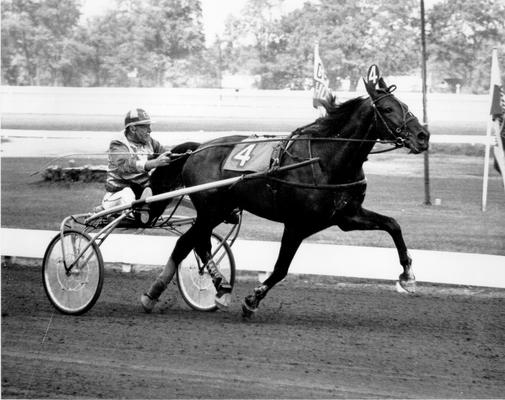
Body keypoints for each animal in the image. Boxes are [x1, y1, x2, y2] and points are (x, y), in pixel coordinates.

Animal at [144, 69, 428, 318]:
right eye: (388, 109)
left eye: (405, 104)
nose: (423, 135)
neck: (325, 160)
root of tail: (198, 148)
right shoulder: (296, 224)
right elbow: (281, 268)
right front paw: (252, 301)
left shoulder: (347, 216)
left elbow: (393, 225)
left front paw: (408, 276)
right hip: (211, 210)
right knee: (185, 244)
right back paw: (152, 295)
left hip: (217, 211)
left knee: (200, 244)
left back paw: (221, 287)